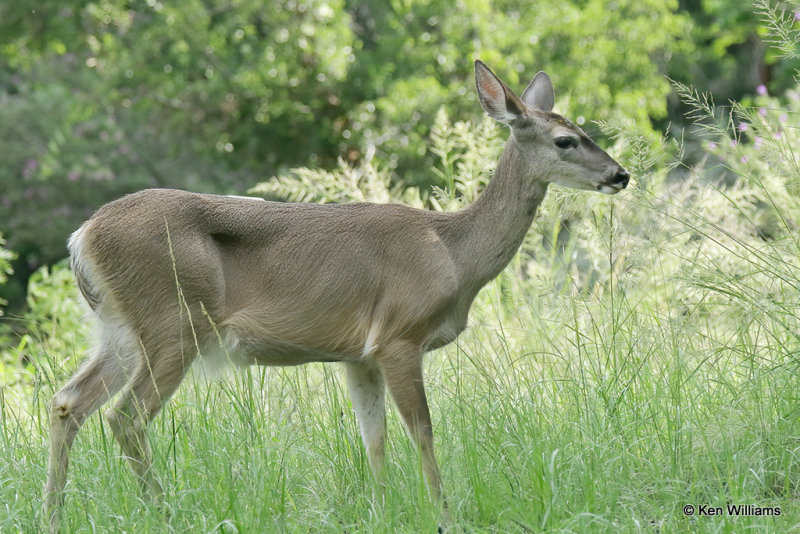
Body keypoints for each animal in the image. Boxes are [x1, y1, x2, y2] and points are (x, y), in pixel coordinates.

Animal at [43, 59, 632, 532]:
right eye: (565, 140)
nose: (620, 174)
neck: (453, 252)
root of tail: (81, 237)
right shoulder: (399, 337)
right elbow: (423, 432)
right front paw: (443, 515)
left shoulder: (358, 355)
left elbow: (374, 439)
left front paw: (382, 512)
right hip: (174, 322)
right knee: (126, 417)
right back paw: (163, 513)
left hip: (123, 328)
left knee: (67, 401)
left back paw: (53, 515)